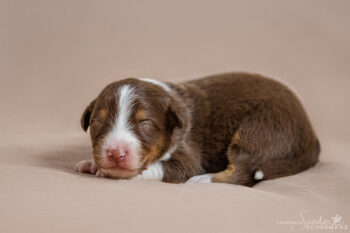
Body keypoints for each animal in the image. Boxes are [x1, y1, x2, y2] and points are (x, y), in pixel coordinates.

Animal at [74, 72, 320, 187]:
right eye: (98, 122)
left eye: (145, 124)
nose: (116, 153)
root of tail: (310, 134)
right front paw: (92, 163)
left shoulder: (188, 154)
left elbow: (165, 168)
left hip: (259, 128)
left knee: (242, 172)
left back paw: (204, 180)